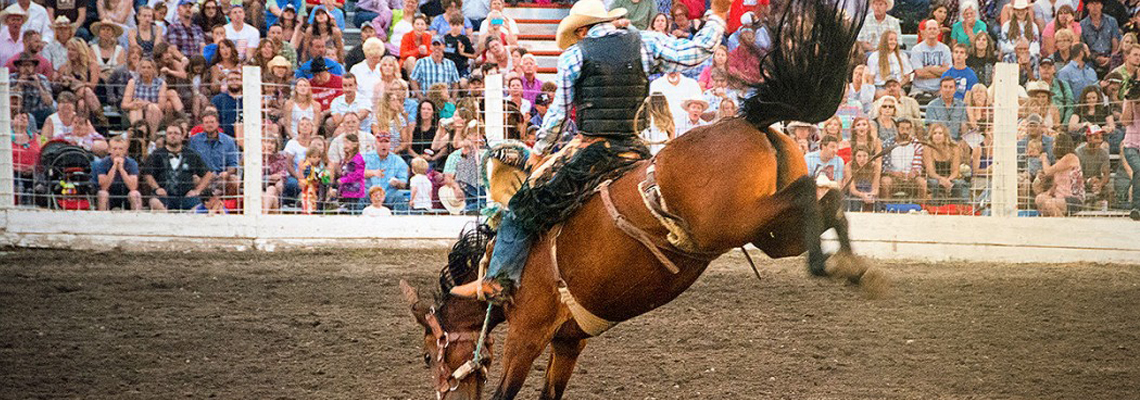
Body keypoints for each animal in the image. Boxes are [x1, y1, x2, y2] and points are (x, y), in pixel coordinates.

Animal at [401, 1, 889, 398]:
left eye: (427, 356)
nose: (446, 394)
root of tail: (751, 121)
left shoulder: (527, 334)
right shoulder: (568, 342)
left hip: (735, 221)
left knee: (810, 194)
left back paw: (829, 265)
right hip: (768, 233)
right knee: (827, 203)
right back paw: (855, 269)